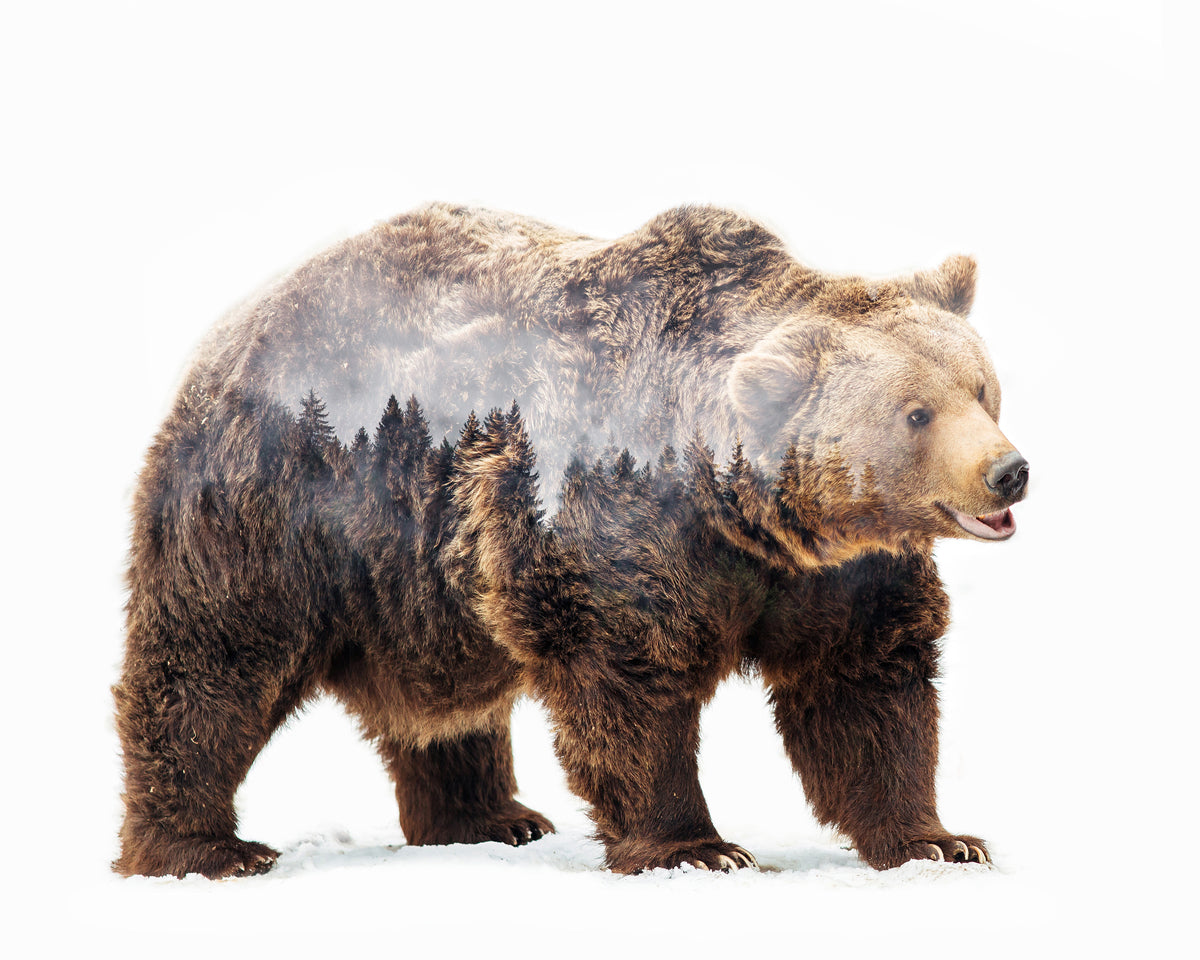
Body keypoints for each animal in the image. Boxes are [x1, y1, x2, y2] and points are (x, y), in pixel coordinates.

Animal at [113, 204, 1029, 878]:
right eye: (916, 413)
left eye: (983, 389)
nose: (1008, 472)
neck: (744, 513)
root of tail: (232, 328)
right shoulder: (617, 519)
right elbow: (628, 679)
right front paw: (698, 848)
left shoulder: (836, 576)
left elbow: (865, 688)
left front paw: (939, 838)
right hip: (281, 502)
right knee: (215, 661)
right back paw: (203, 847)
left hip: (419, 580)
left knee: (444, 706)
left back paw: (489, 817)